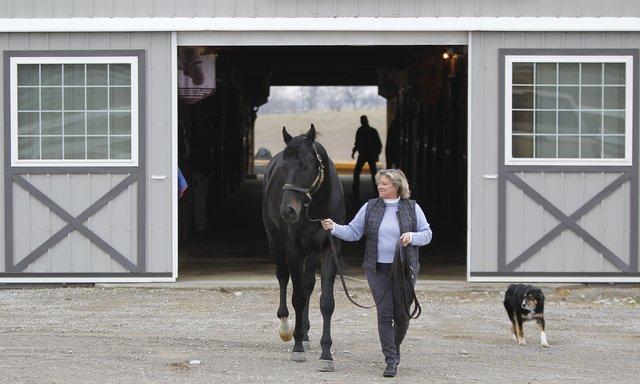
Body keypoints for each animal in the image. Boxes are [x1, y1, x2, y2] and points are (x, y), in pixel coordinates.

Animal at [262, 124, 344, 370]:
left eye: (306, 166)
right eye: (285, 167)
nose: (288, 211)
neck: (316, 207)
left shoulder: (329, 252)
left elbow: (326, 302)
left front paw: (326, 354)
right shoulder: (294, 253)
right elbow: (297, 298)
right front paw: (297, 347)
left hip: (311, 256)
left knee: (307, 285)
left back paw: (306, 334)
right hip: (276, 245)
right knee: (283, 278)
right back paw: (287, 328)